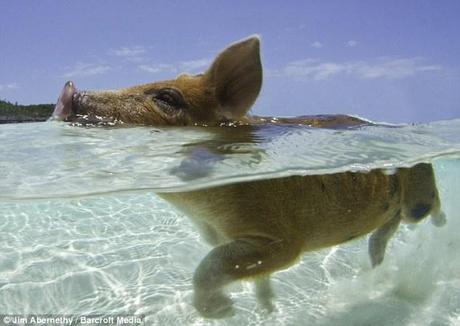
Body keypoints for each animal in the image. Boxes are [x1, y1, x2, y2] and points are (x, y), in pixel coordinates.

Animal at [50, 36, 446, 318]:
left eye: (167, 98)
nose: (68, 90)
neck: (203, 211)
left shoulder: (283, 239)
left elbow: (213, 265)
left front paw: (224, 312)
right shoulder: (221, 236)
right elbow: (250, 274)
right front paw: (267, 309)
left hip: (419, 190)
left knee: (425, 213)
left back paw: (437, 230)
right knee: (387, 230)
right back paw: (376, 263)